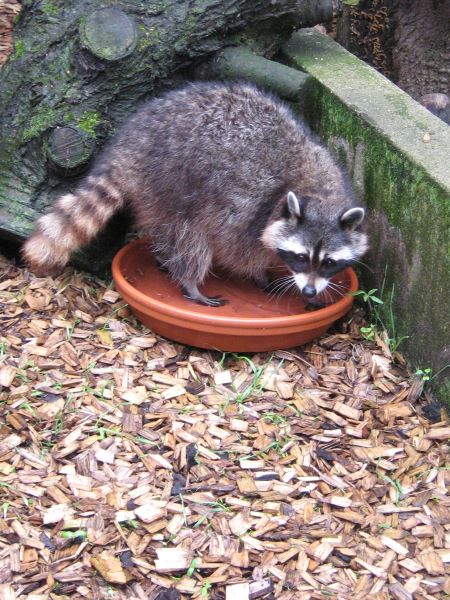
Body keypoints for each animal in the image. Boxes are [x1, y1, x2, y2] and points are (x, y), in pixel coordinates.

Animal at [22, 82, 368, 308]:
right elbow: (239, 252)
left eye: (329, 263)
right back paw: (190, 280)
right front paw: (260, 273)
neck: (318, 193)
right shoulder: (250, 207)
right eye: (300, 257)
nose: (309, 292)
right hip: (176, 182)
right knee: (189, 237)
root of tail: (129, 148)